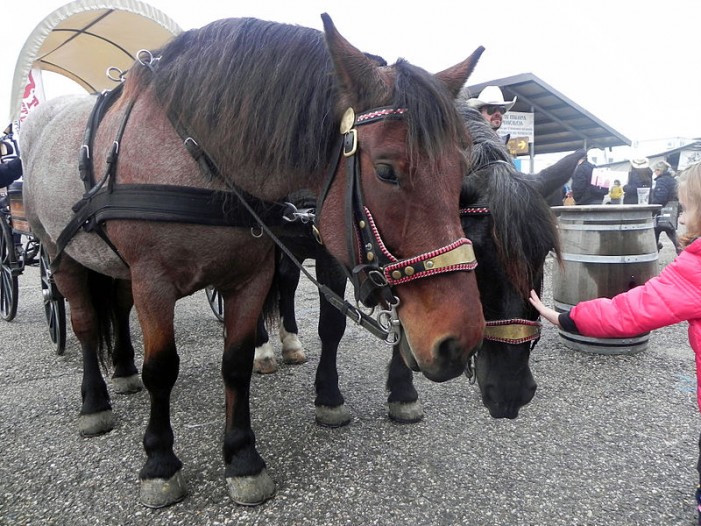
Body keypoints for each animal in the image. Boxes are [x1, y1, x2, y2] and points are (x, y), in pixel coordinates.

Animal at [17, 15, 486, 508]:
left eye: (463, 171)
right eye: (386, 171)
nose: (461, 341)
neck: (196, 159)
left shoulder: (252, 275)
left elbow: (238, 361)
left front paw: (243, 457)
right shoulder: (153, 280)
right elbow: (162, 369)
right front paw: (160, 462)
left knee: (119, 309)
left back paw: (124, 370)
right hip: (59, 255)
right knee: (86, 325)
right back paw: (94, 402)